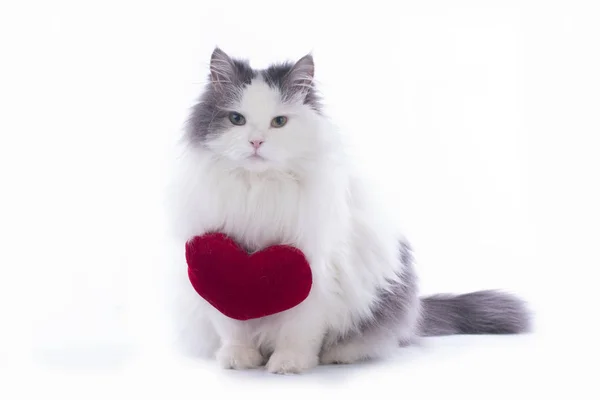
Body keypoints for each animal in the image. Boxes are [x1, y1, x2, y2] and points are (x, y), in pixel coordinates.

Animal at [168, 47, 528, 376]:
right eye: (236, 119)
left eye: (279, 122)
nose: (256, 142)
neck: (259, 190)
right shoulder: (211, 267)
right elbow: (232, 327)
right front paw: (239, 359)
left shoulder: (315, 270)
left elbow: (298, 331)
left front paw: (289, 364)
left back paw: (338, 355)